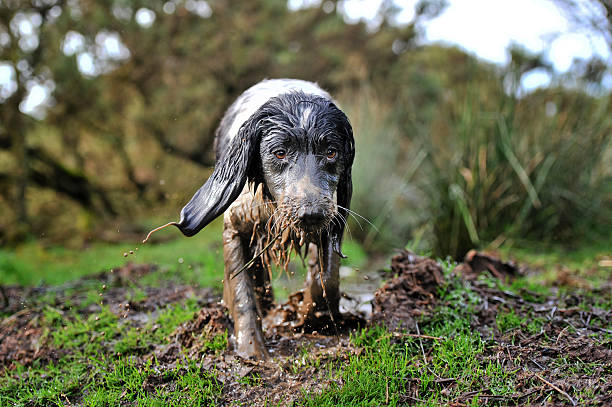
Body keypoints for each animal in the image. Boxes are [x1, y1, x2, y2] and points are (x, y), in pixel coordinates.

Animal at [149, 79, 356, 360]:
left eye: (331, 152)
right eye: (279, 153)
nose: (310, 214)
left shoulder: (330, 221)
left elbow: (327, 277)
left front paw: (312, 317)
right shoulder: (236, 228)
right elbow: (242, 293)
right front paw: (251, 349)